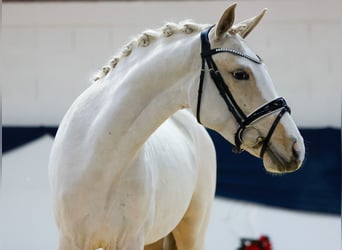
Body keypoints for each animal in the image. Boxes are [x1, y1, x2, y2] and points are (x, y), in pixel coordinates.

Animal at [48, 3, 304, 250]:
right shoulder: (70, 240)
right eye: (240, 74)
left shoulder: (131, 240)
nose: (295, 147)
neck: (98, 157)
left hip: (191, 234)